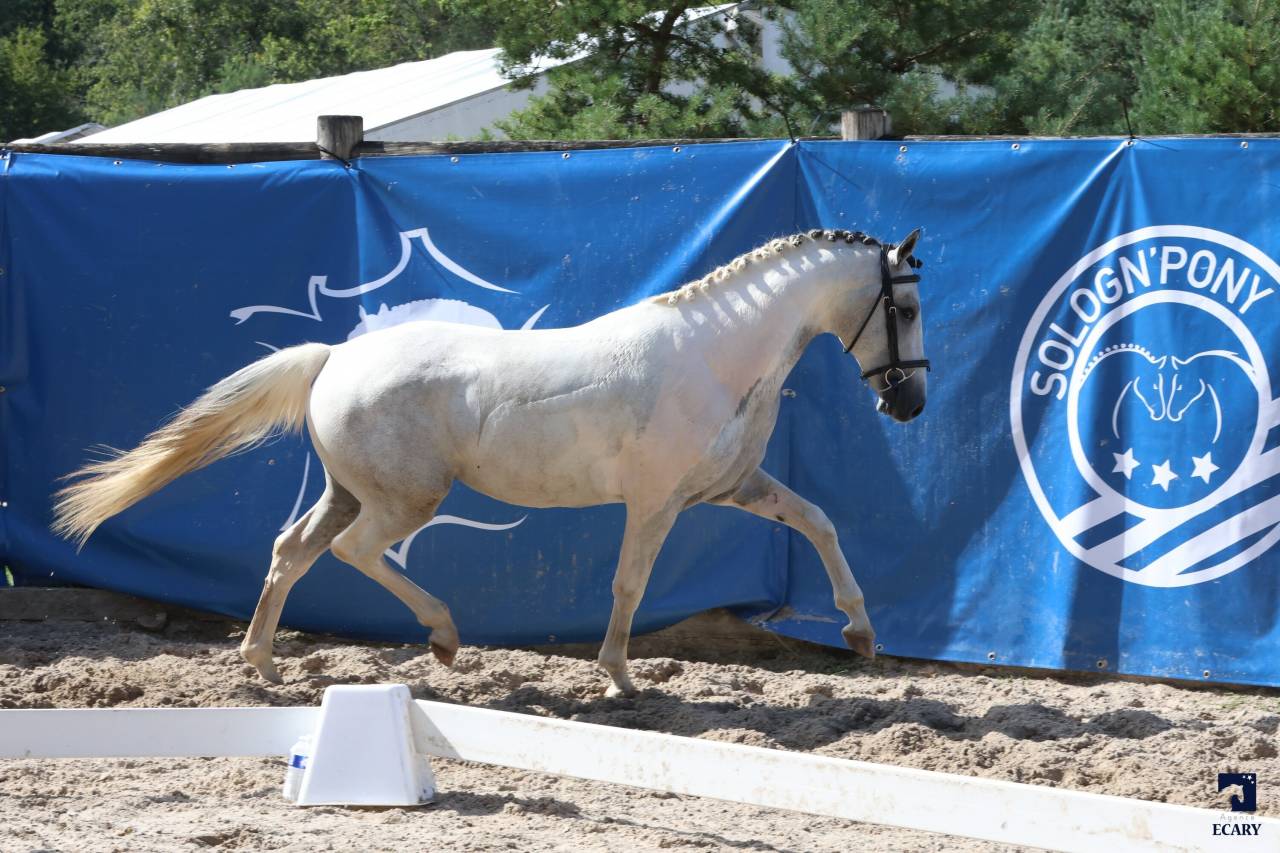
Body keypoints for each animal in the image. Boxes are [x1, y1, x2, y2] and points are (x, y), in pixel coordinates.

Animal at [53, 227, 929, 697]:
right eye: (908, 305)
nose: (911, 405)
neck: (717, 357)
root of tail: (336, 356)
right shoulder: (655, 502)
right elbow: (630, 583)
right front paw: (618, 676)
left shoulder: (734, 485)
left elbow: (818, 520)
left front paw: (860, 633)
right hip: (404, 500)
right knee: (352, 552)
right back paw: (441, 636)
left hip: (348, 491)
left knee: (290, 551)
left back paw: (263, 664)